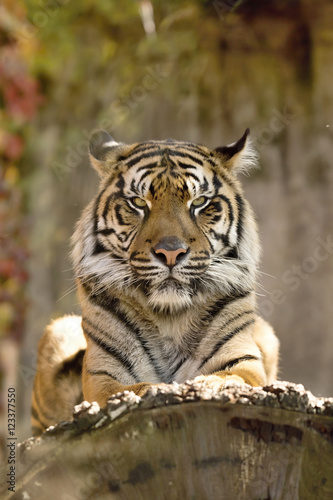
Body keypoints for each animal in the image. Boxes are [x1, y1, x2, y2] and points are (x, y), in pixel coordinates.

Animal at [31, 129, 278, 438]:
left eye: (199, 203)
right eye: (138, 203)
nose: (170, 252)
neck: (169, 316)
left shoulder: (243, 360)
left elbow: (231, 377)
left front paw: (208, 386)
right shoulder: (102, 375)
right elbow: (129, 390)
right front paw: (156, 390)